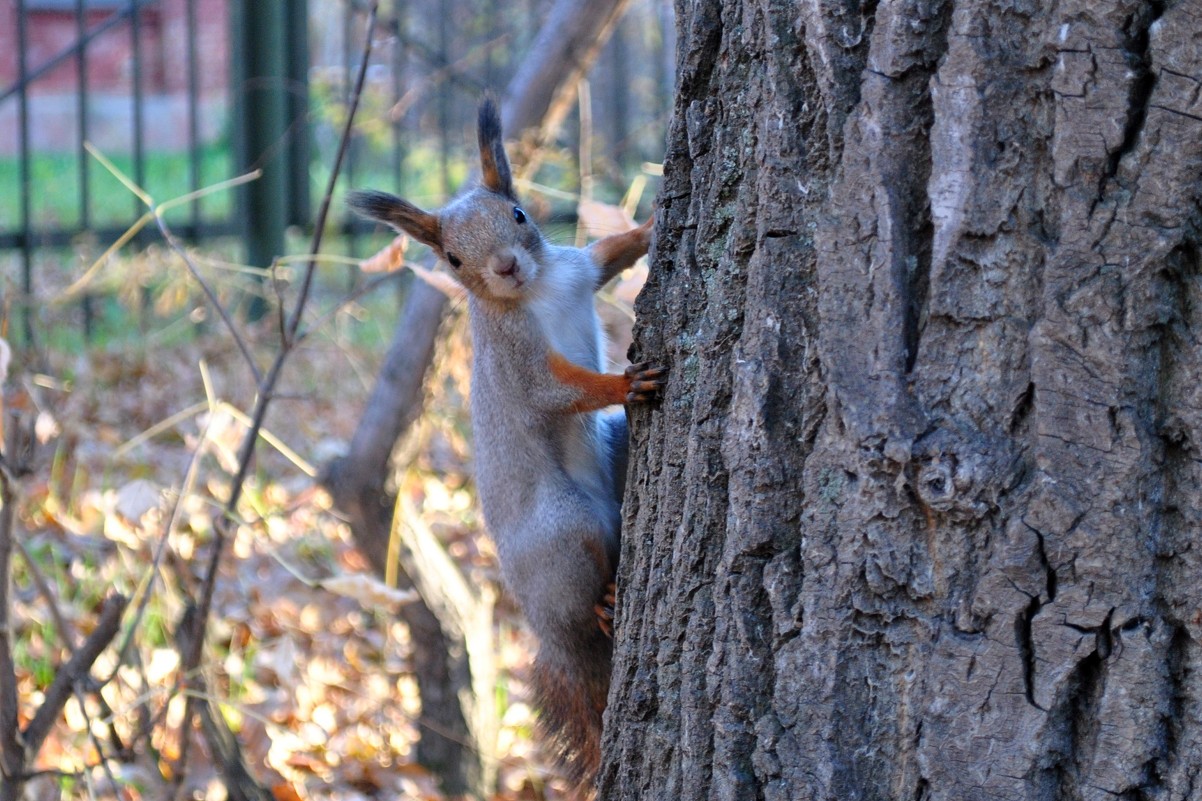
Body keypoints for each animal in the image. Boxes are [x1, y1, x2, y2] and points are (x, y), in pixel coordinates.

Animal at [348, 96, 668, 788]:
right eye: (452, 260)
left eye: (518, 214)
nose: (505, 267)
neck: (538, 291)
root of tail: (550, 635)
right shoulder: (518, 362)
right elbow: (560, 392)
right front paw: (625, 382)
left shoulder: (578, 271)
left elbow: (611, 254)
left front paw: (653, 224)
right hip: (566, 529)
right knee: (581, 595)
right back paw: (603, 603)